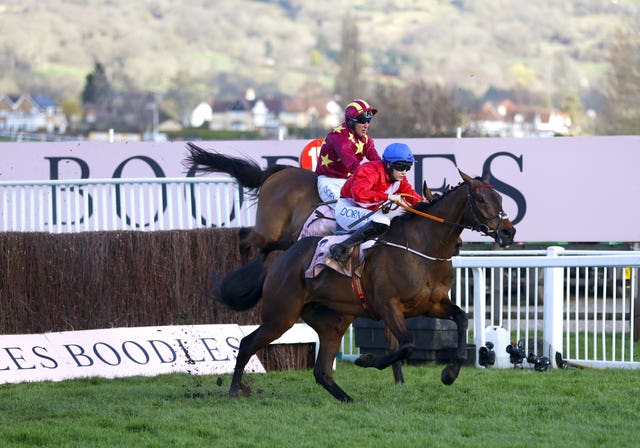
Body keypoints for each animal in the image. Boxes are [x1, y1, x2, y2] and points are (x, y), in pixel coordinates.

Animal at [215, 171, 516, 402]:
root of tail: (280, 260)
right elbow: (406, 345)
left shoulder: (433, 304)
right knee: (247, 343)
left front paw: (449, 373)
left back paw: (346, 398)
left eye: (500, 198)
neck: (423, 247)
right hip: (281, 316)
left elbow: (462, 320)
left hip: (331, 322)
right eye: (480, 199)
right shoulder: (388, 305)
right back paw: (234, 391)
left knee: (321, 371)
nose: (507, 231)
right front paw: (366, 360)